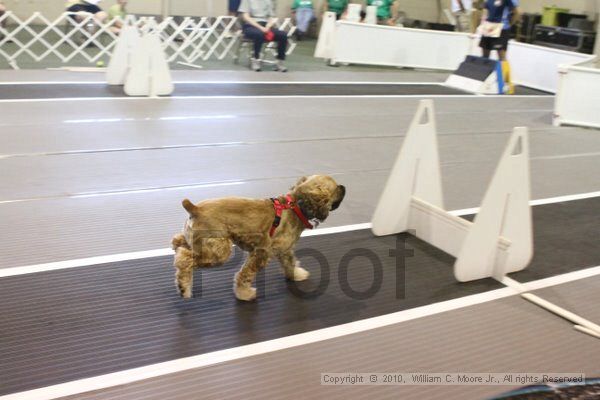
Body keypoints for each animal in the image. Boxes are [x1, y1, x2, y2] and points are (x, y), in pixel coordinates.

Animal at [171, 174, 344, 300]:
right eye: (336, 188)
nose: (344, 187)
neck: (295, 207)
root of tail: (195, 208)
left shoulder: (285, 250)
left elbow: (290, 263)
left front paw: (296, 274)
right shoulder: (261, 253)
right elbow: (244, 275)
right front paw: (244, 294)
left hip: (198, 241)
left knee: (178, 244)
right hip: (219, 251)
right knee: (185, 259)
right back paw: (184, 286)